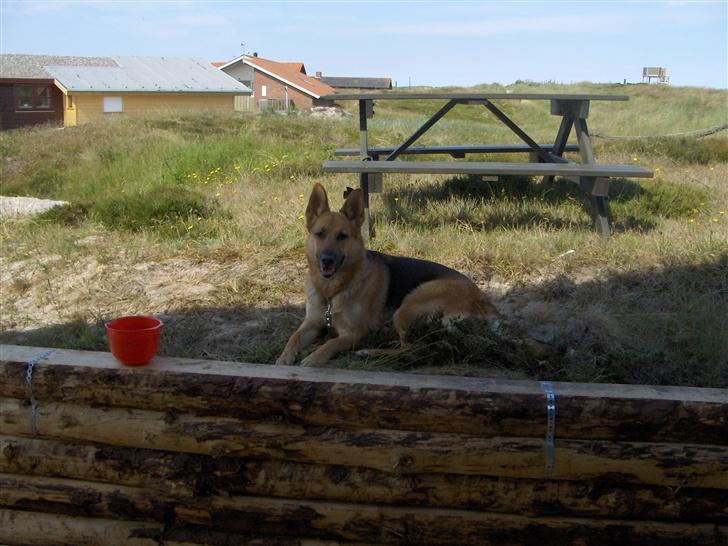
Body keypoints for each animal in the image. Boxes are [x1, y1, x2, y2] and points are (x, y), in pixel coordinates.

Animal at [274, 183, 500, 366]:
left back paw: (370, 352)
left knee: (412, 349)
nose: (326, 260)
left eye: (342, 236)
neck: (331, 292)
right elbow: (294, 337)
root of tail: (486, 303)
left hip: (409, 305)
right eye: (320, 234)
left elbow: (331, 343)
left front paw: (314, 357)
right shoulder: (311, 323)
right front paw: (284, 357)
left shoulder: (353, 333)